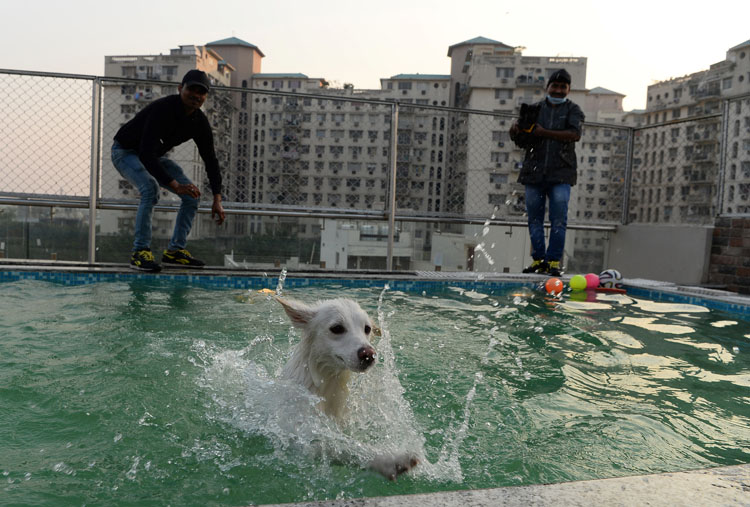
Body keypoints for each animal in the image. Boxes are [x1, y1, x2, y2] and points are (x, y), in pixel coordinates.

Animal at [276, 298, 420, 480]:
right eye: (337, 328)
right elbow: (344, 447)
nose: (369, 354)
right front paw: (390, 460)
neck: (327, 385)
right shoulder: (301, 437)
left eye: (367, 329)